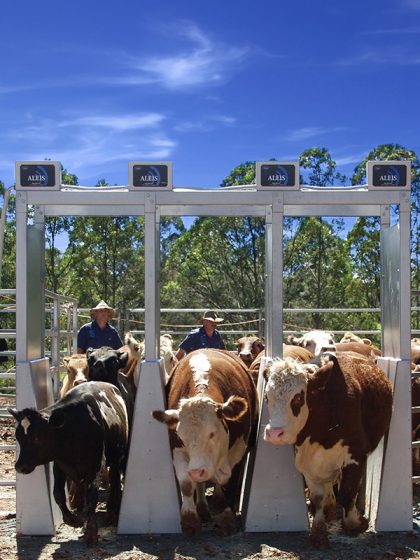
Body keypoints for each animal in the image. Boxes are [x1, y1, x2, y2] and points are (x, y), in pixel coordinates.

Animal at [8, 382, 129, 544]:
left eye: (37, 437)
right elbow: (57, 493)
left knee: (115, 482)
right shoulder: (59, 464)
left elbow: (92, 494)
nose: (20, 466)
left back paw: (111, 512)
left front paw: (91, 532)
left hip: (116, 457)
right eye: (18, 436)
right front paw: (72, 520)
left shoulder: (97, 465)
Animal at [153, 348, 258, 536]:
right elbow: (187, 484)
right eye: (181, 436)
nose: (197, 471)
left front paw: (228, 518)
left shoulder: (239, 450)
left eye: (212, 433)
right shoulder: (177, 449)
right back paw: (202, 508)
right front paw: (190, 520)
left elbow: (230, 483)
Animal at [264, 354, 392, 548]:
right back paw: (329, 508)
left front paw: (356, 523)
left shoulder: (356, 456)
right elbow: (317, 497)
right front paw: (318, 532)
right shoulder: (306, 461)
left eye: (299, 398)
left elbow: (347, 493)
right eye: (266, 397)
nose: (274, 433)